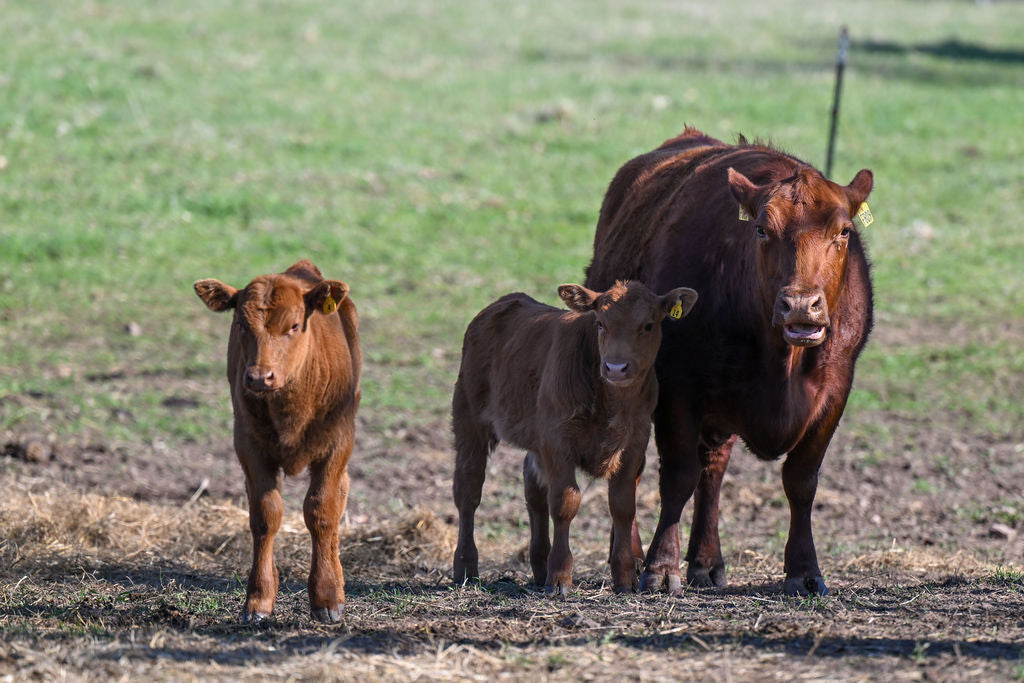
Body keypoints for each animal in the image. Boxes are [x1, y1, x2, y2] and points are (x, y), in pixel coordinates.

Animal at [194, 259, 361, 623]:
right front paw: (258, 600)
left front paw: (328, 597)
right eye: (241, 324)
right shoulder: (248, 446)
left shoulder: (338, 442)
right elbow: (265, 515)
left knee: (339, 495)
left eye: (295, 325)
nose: (259, 376)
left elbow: (322, 509)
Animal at [452, 280, 698, 595]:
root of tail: (504, 303)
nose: (616, 367)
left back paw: (539, 566)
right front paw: (560, 577)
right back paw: (466, 567)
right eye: (601, 323)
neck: (612, 402)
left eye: (648, 325)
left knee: (533, 490)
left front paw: (623, 577)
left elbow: (622, 506)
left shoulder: (635, 442)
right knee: (468, 490)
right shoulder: (557, 441)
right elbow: (565, 503)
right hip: (469, 418)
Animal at [585, 127, 874, 596]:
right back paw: (630, 555)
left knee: (713, 469)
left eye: (844, 231)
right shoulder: (678, 387)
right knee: (634, 466)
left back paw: (707, 561)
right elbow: (677, 477)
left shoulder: (835, 389)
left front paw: (804, 570)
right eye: (761, 229)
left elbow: (801, 481)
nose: (801, 305)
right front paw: (660, 566)